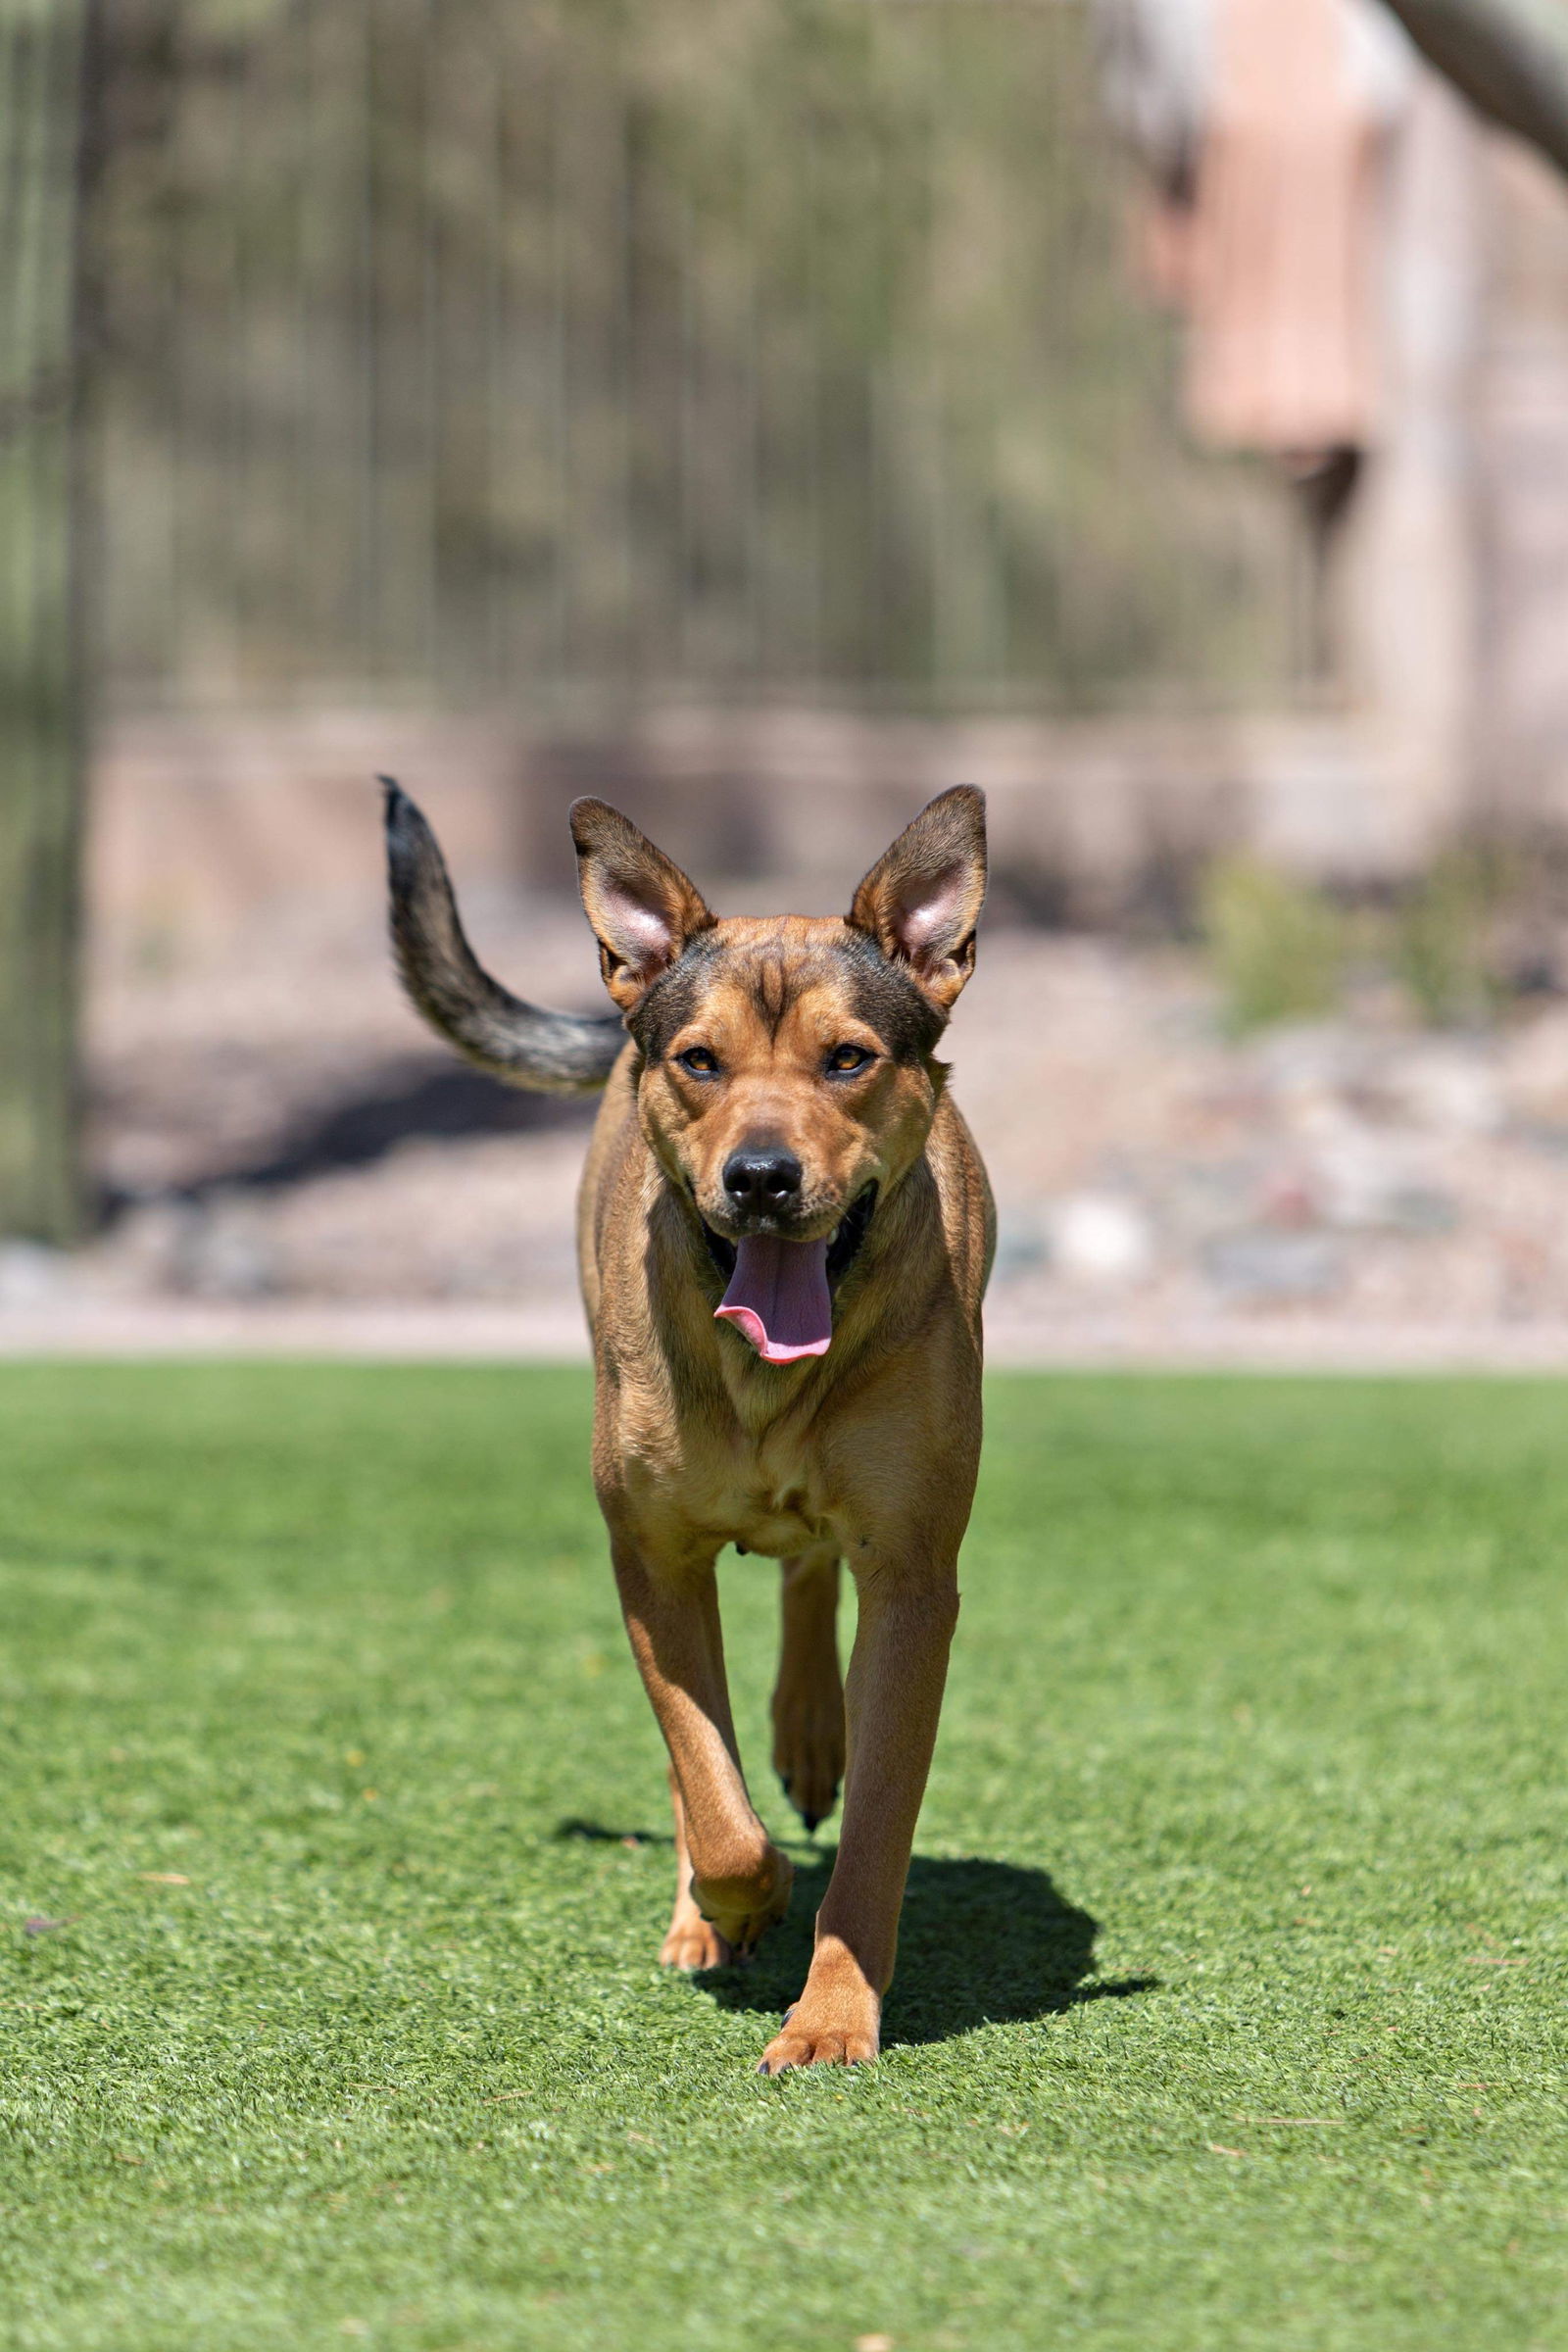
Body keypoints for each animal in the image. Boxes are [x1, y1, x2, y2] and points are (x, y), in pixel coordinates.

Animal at [385, 780, 992, 2070]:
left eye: (848, 1059)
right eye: (699, 1061)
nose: (760, 1178)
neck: (765, 1380)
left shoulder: (916, 1572)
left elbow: (877, 1826)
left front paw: (831, 2013)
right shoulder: (651, 1556)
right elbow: (710, 1792)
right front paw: (739, 1900)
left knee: (811, 1579)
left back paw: (810, 1737)